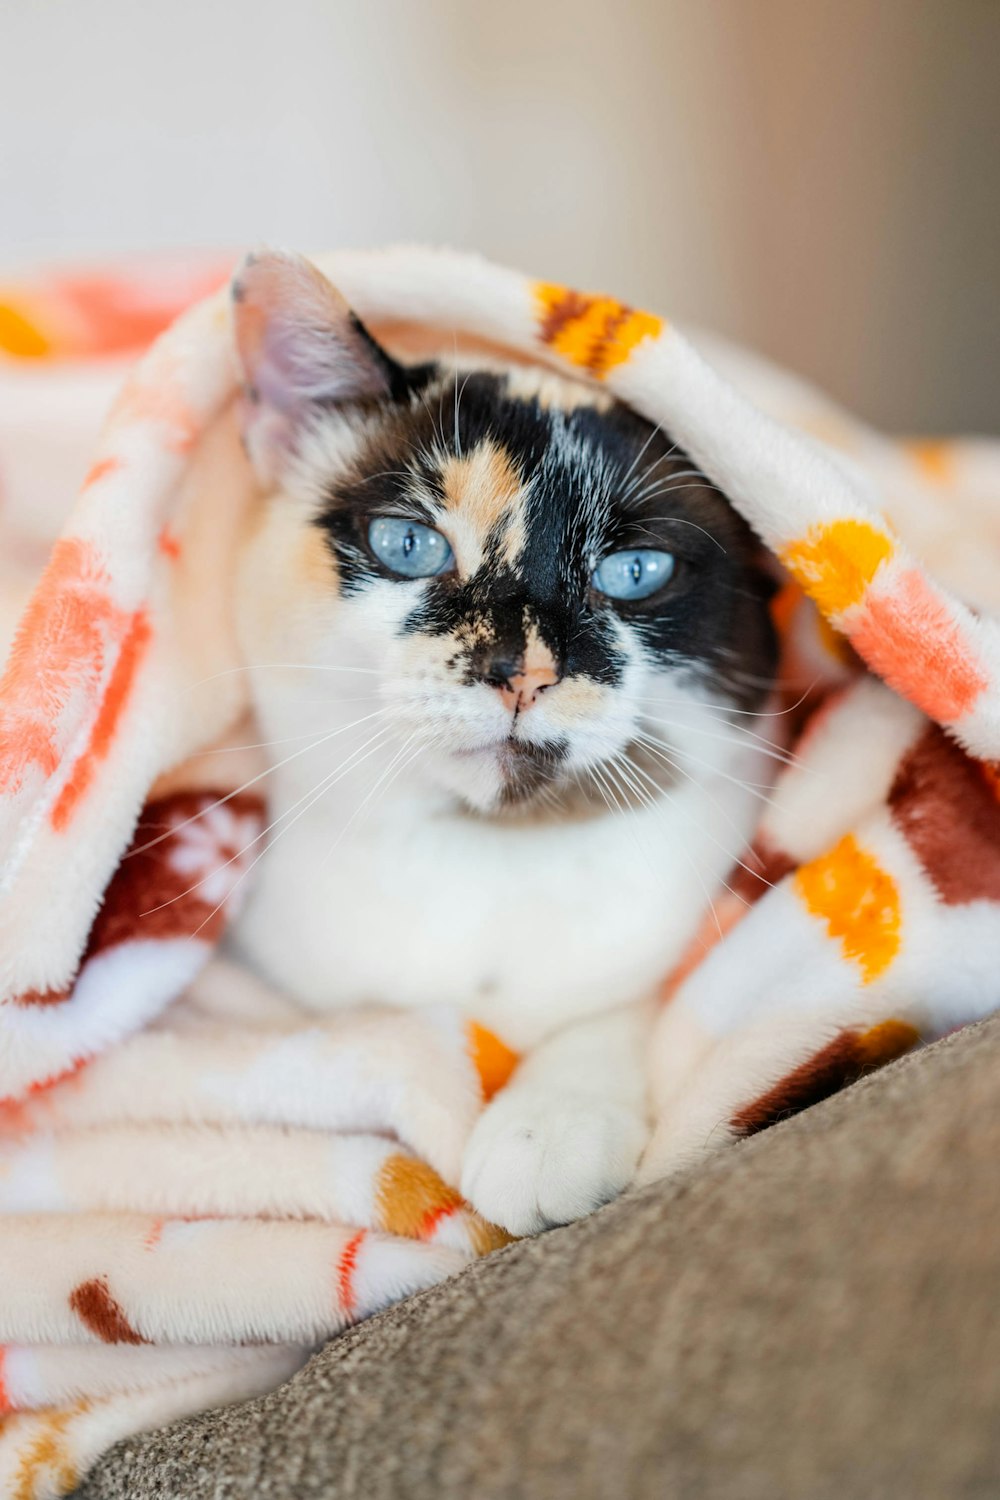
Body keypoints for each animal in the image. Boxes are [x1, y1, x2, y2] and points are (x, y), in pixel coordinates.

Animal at [229, 252, 779, 1236]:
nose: (519, 670)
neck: (482, 860)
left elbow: (623, 1003)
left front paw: (548, 1127)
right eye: (407, 543)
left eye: (635, 571)